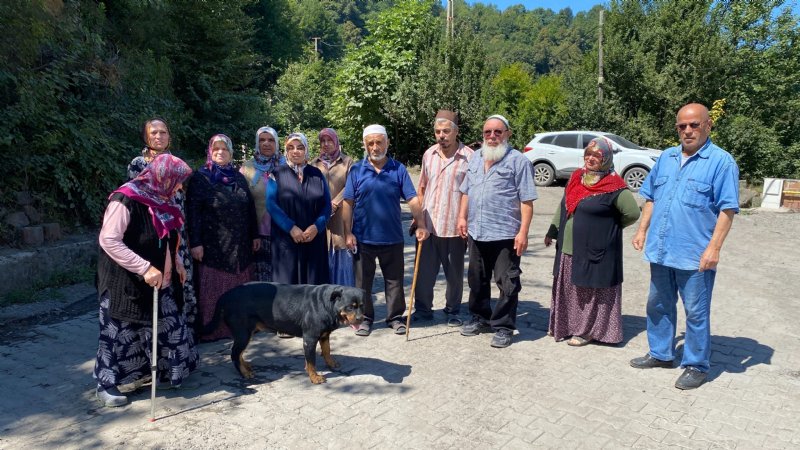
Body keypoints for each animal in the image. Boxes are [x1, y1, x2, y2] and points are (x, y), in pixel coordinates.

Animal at [206, 282, 368, 384]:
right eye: (350, 307)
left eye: (361, 305)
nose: (361, 318)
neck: (327, 304)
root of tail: (225, 296)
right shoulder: (310, 338)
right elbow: (312, 361)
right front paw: (314, 377)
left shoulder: (324, 335)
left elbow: (327, 350)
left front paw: (331, 363)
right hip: (243, 332)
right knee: (234, 353)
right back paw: (244, 373)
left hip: (248, 332)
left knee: (238, 352)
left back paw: (245, 365)